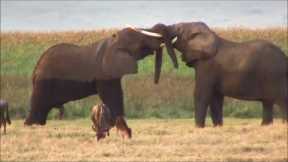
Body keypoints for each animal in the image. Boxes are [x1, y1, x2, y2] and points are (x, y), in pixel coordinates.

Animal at [24, 26, 178, 128]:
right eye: (141, 43)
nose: (156, 81)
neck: (113, 41)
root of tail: (36, 67)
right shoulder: (104, 74)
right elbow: (111, 94)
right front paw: (117, 123)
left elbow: (117, 93)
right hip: (44, 83)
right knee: (39, 103)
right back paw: (31, 125)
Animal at [151, 22, 288, 127]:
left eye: (179, 29)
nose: (176, 66)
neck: (208, 33)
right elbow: (215, 99)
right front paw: (218, 126)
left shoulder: (207, 65)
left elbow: (201, 94)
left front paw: (199, 127)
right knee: (267, 103)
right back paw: (265, 126)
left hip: (276, 77)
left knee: (282, 102)